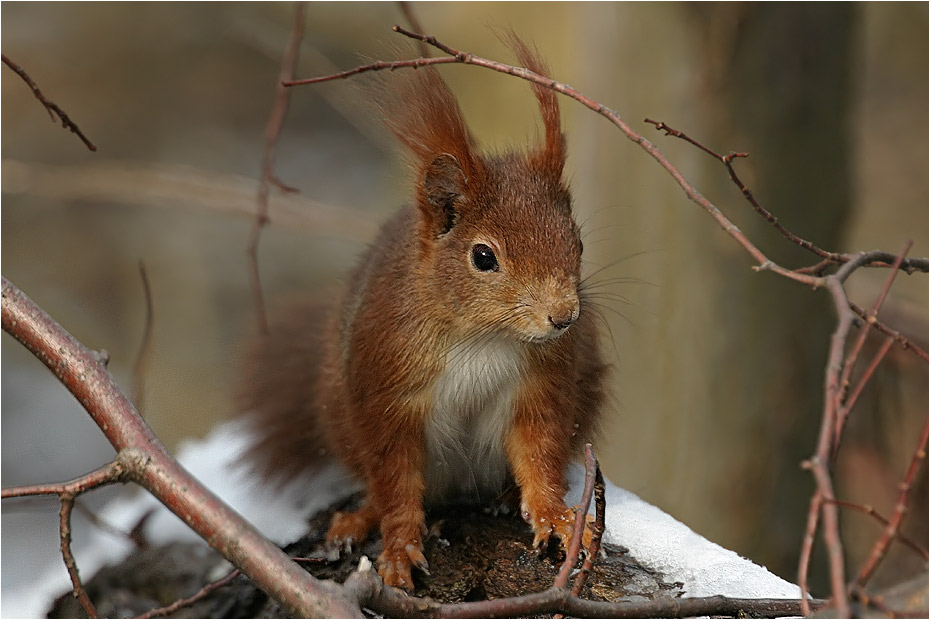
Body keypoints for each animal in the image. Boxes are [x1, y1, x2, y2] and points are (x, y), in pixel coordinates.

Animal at [236, 41, 604, 588]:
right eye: (484, 257)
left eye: (577, 243)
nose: (564, 317)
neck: (482, 337)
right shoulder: (389, 392)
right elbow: (396, 478)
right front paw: (399, 546)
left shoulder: (542, 385)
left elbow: (539, 452)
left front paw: (553, 514)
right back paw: (360, 515)